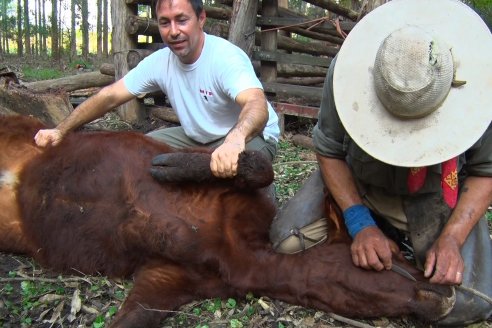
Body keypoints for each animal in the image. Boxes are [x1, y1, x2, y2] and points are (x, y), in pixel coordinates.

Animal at [0, 115, 454, 328]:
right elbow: (254, 167)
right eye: (392, 256)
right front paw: (167, 166)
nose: (449, 294)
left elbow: (131, 318)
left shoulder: (166, 279)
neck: (243, 256)